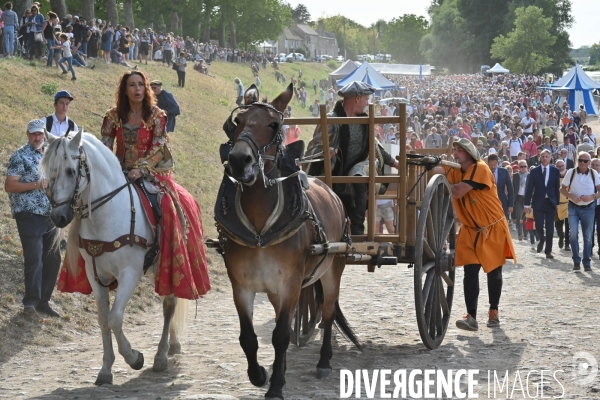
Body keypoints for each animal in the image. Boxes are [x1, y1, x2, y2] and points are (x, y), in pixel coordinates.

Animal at [40, 130, 188, 386]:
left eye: (70, 170)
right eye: (50, 169)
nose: (59, 217)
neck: (106, 215)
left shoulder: (130, 273)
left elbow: (115, 318)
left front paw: (134, 358)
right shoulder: (95, 275)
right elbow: (103, 319)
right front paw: (106, 369)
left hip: (164, 268)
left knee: (169, 304)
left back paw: (161, 355)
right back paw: (173, 344)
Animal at [223, 83, 358, 398]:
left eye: (274, 125)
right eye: (238, 121)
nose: (238, 159)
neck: (260, 230)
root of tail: (330, 190)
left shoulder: (291, 284)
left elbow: (281, 335)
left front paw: (275, 387)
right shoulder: (242, 286)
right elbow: (248, 337)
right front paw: (260, 374)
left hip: (332, 270)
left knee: (328, 312)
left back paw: (324, 361)